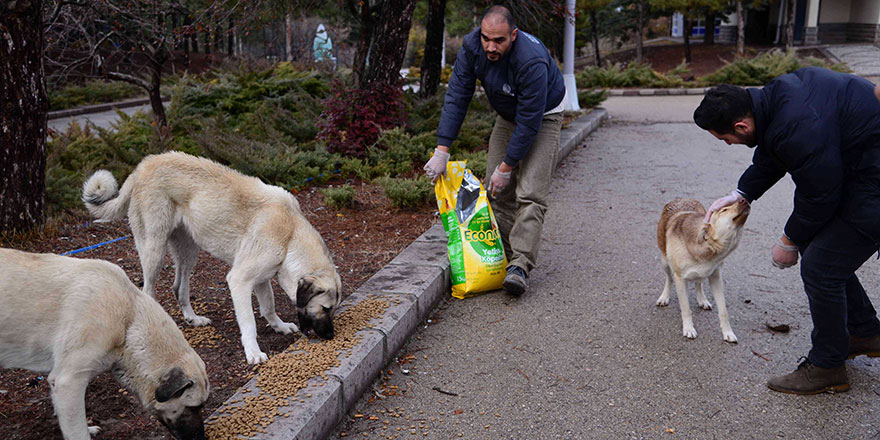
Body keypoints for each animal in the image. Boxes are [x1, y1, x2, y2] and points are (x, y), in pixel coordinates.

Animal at [82, 151, 342, 364]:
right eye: (325, 308)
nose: (331, 336)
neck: (289, 233)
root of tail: (141, 167)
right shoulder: (239, 281)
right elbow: (249, 322)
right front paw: (253, 352)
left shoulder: (261, 279)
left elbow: (268, 306)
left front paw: (279, 326)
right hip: (153, 250)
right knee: (148, 291)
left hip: (188, 251)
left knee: (178, 287)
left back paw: (192, 318)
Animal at [656, 197, 744, 344]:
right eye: (724, 210)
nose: (744, 199)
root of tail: (681, 198)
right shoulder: (680, 279)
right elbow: (686, 308)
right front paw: (688, 328)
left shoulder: (716, 277)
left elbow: (723, 311)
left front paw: (728, 332)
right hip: (665, 262)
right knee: (669, 279)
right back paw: (664, 297)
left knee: (699, 282)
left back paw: (702, 299)